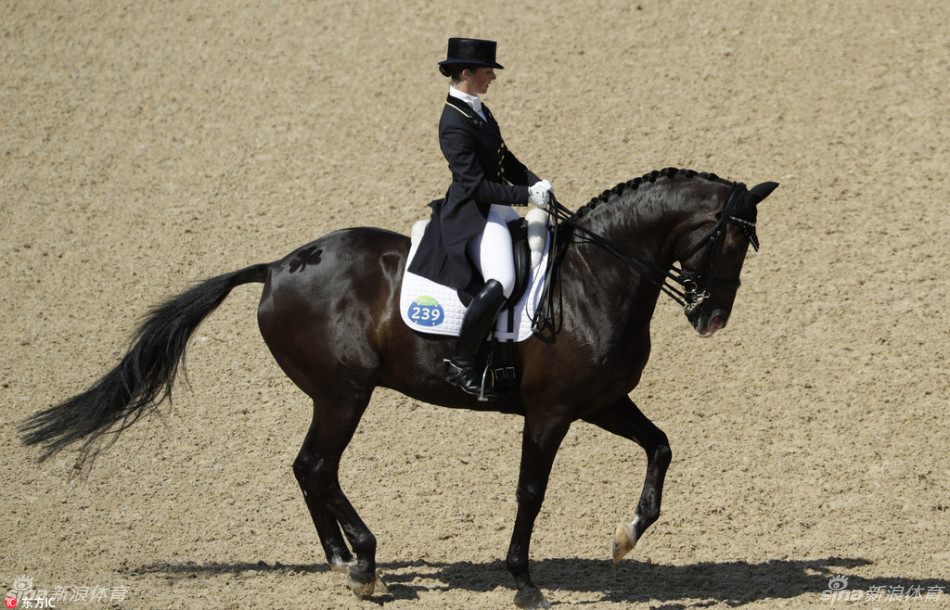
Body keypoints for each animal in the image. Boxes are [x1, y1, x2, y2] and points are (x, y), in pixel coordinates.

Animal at [20, 167, 778, 608]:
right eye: (726, 239)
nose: (712, 317)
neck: (595, 278)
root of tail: (277, 266)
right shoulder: (552, 411)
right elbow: (531, 491)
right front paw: (523, 581)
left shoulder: (599, 402)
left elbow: (661, 447)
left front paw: (626, 537)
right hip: (344, 394)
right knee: (317, 466)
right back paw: (363, 564)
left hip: (335, 397)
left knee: (308, 468)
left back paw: (342, 562)